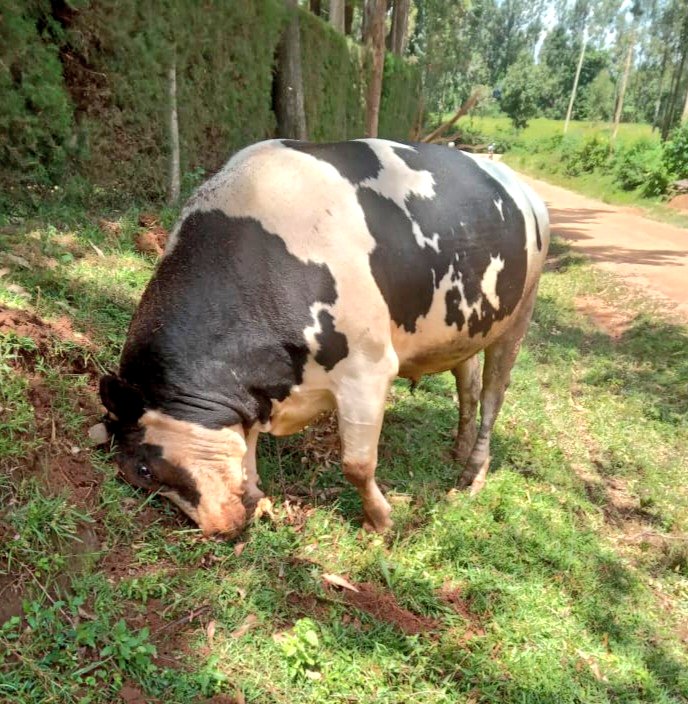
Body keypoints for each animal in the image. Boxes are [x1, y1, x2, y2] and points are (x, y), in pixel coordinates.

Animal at [97, 139, 549, 537]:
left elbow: (357, 464)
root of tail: (524, 188)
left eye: (143, 469)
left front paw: (381, 522)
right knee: (467, 385)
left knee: (492, 396)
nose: (216, 528)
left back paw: (471, 476)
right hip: (466, 328)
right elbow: (247, 444)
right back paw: (459, 447)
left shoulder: (368, 368)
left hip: (521, 313)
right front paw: (257, 494)